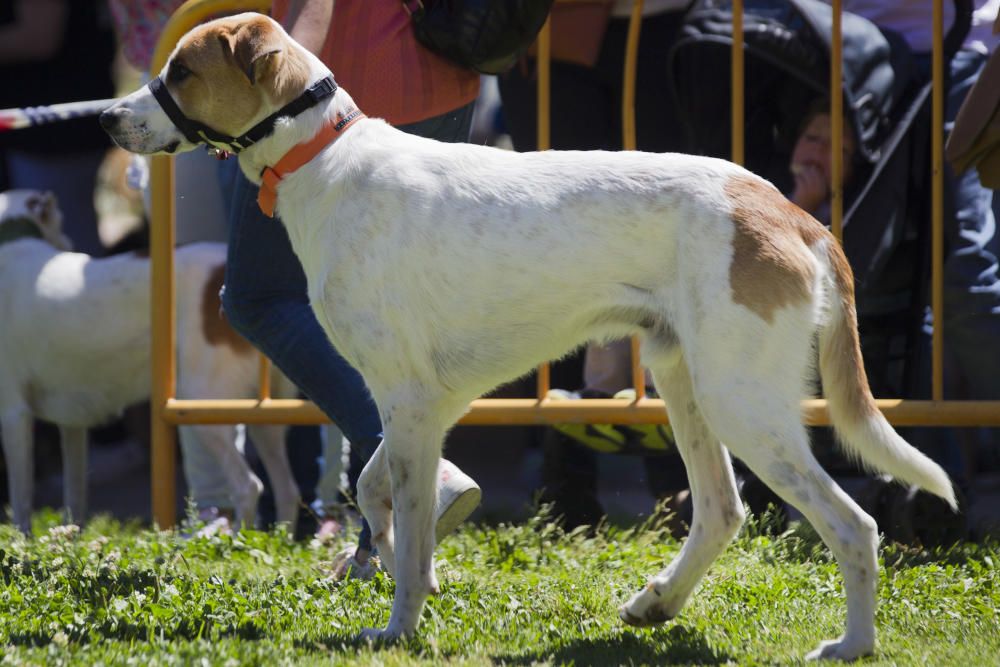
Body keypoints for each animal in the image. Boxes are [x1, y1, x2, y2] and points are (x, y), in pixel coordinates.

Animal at [0, 190, 300, 536]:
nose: (70, 242)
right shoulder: (72, 425)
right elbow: (74, 498)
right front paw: (69, 538)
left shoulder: (13, 415)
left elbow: (20, 503)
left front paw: (23, 542)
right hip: (265, 415)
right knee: (287, 489)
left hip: (199, 402)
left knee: (248, 486)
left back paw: (235, 539)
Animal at [103, 13, 960, 660]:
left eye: (182, 71)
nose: (108, 118)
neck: (327, 159)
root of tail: (791, 211)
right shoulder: (421, 405)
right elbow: (380, 491)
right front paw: (406, 570)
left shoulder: (408, 399)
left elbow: (404, 525)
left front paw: (399, 626)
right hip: (685, 381)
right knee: (721, 509)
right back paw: (657, 604)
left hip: (742, 400)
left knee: (853, 523)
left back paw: (852, 643)